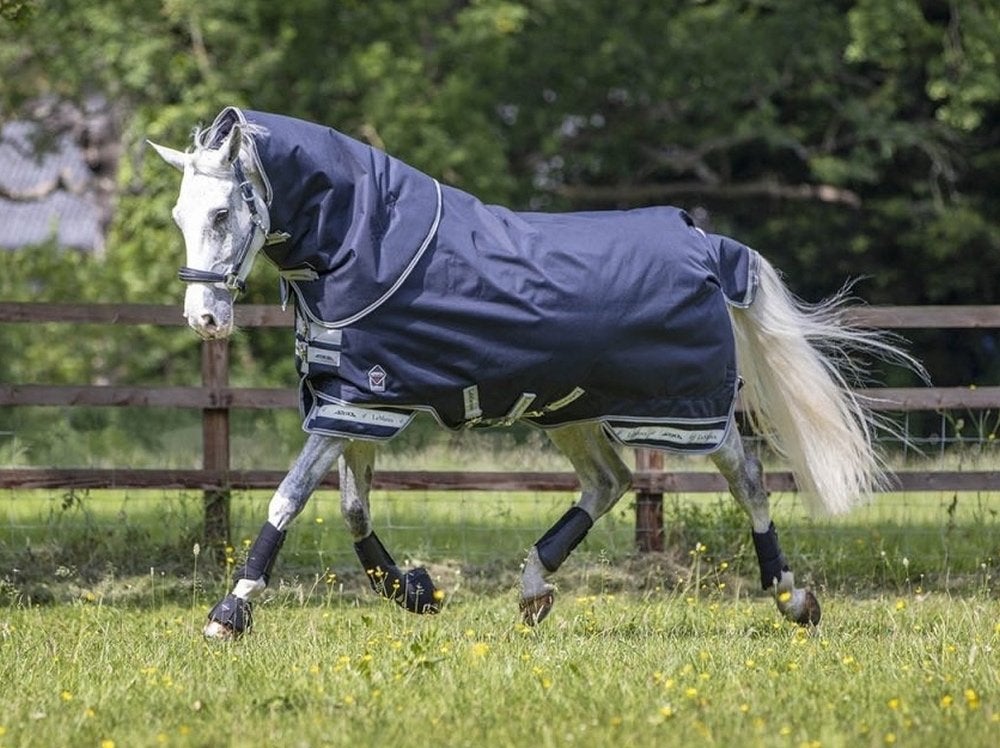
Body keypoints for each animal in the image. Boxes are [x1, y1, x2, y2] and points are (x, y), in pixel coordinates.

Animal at [150, 107, 911, 640]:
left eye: (222, 212)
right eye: (181, 215)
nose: (204, 319)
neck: (365, 243)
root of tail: (706, 241)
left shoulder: (363, 404)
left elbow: (287, 497)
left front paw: (229, 612)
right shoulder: (357, 401)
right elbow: (352, 507)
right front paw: (415, 592)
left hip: (681, 409)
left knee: (745, 476)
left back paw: (792, 597)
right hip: (568, 408)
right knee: (610, 483)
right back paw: (533, 589)